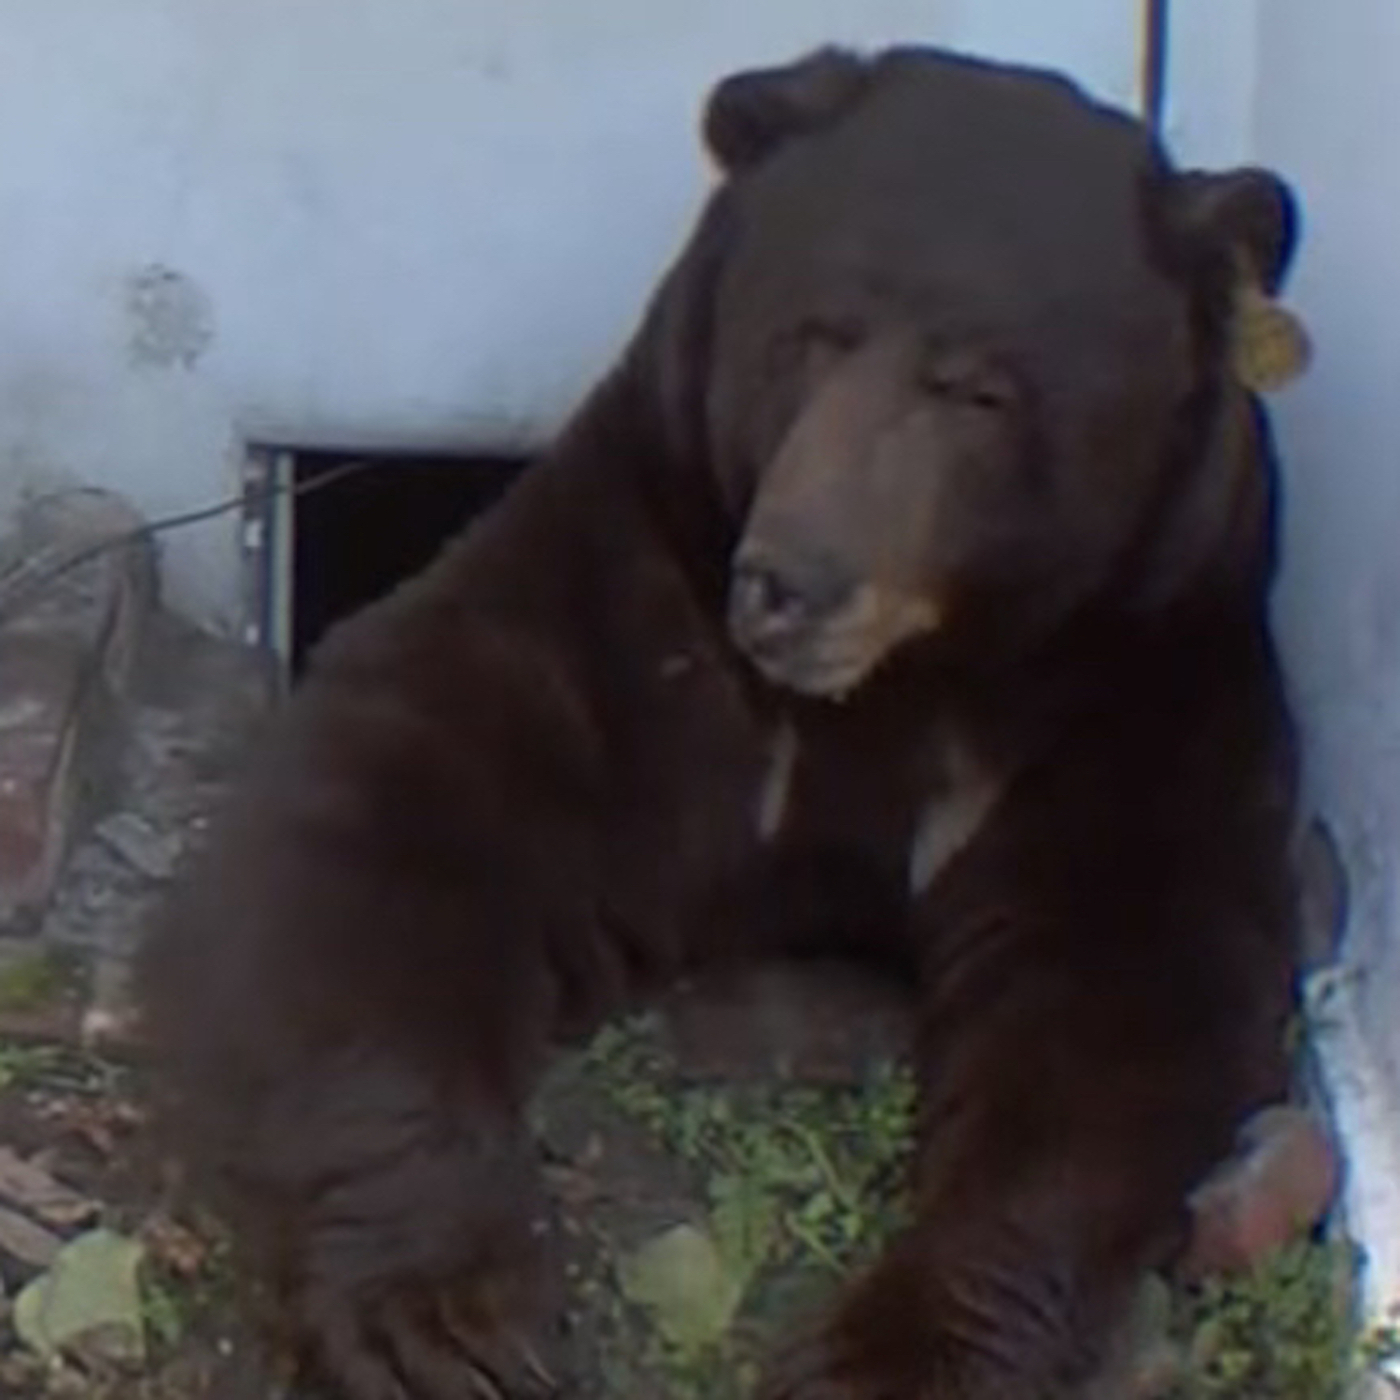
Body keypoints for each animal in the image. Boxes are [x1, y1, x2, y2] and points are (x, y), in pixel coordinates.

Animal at [138, 44, 1306, 1400]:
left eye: (980, 390)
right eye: (807, 335)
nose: (793, 577)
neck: (902, 677)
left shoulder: (1136, 681)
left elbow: (1118, 999)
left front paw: (885, 1351)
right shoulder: (632, 595)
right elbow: (388, 805)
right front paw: (443, 1313)